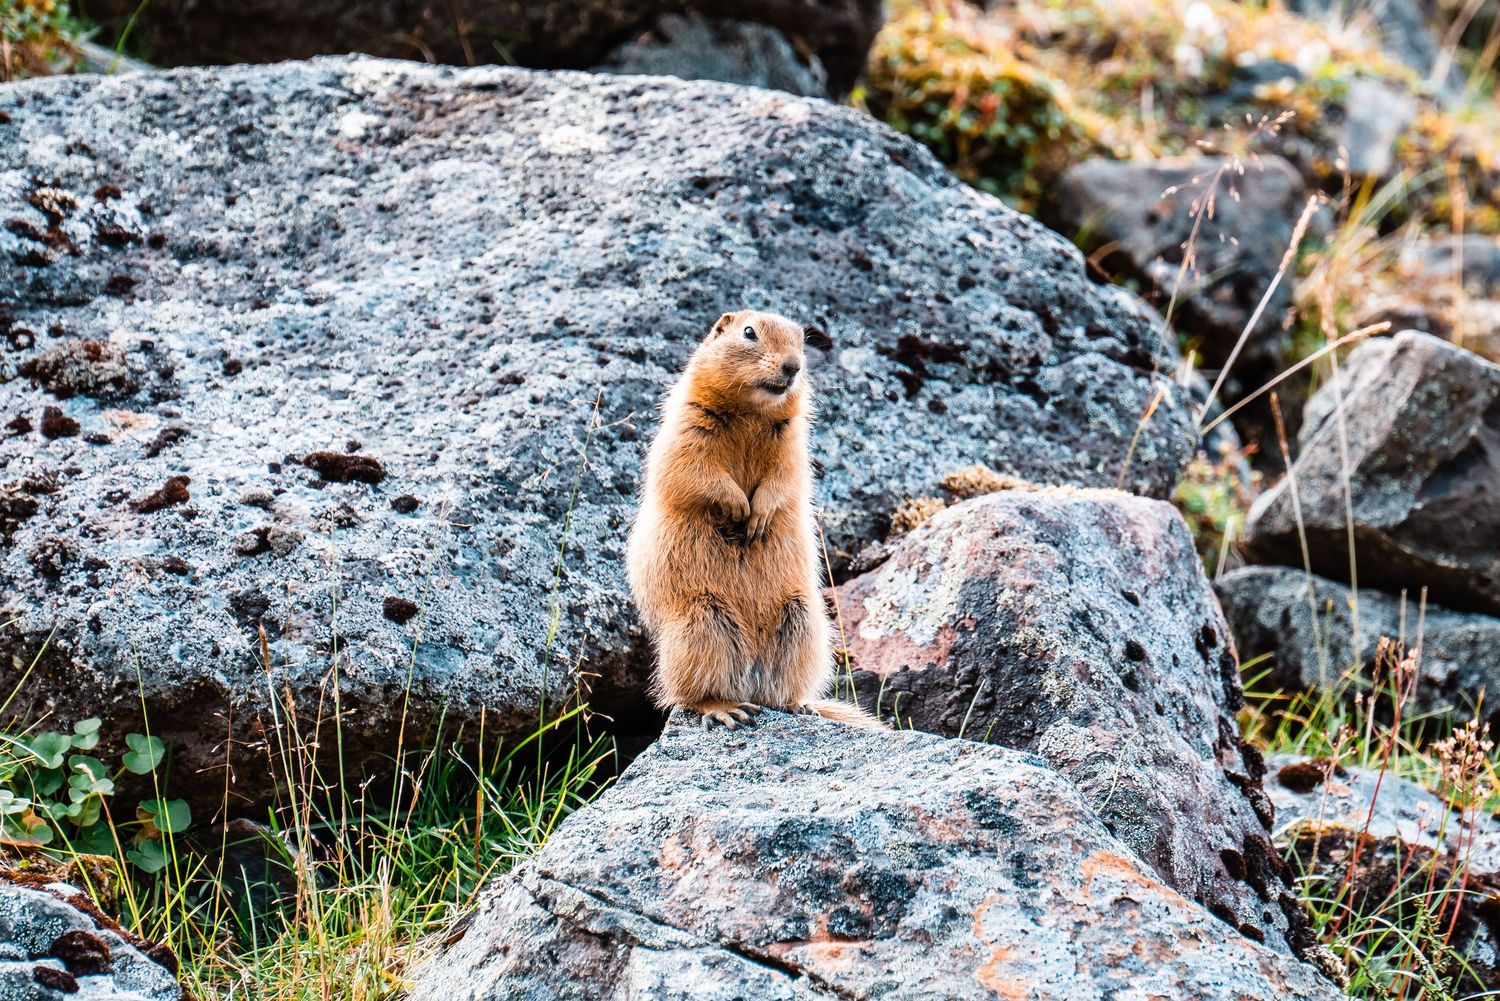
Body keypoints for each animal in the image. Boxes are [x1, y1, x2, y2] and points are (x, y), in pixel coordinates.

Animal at [627, 309, 884, 731]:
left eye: (802, 341)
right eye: (749, 332)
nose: (793, 367)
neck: (751, 412)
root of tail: (750, 677)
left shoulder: (794, 442)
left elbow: (787, 477)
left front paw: (759, 514)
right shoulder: (687, 424)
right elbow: (692, 469)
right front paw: (737, 507)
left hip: (804, 621)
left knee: (779, 691)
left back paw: (800, 705)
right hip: (700, 623)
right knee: (689, 696)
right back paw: (724, 709)